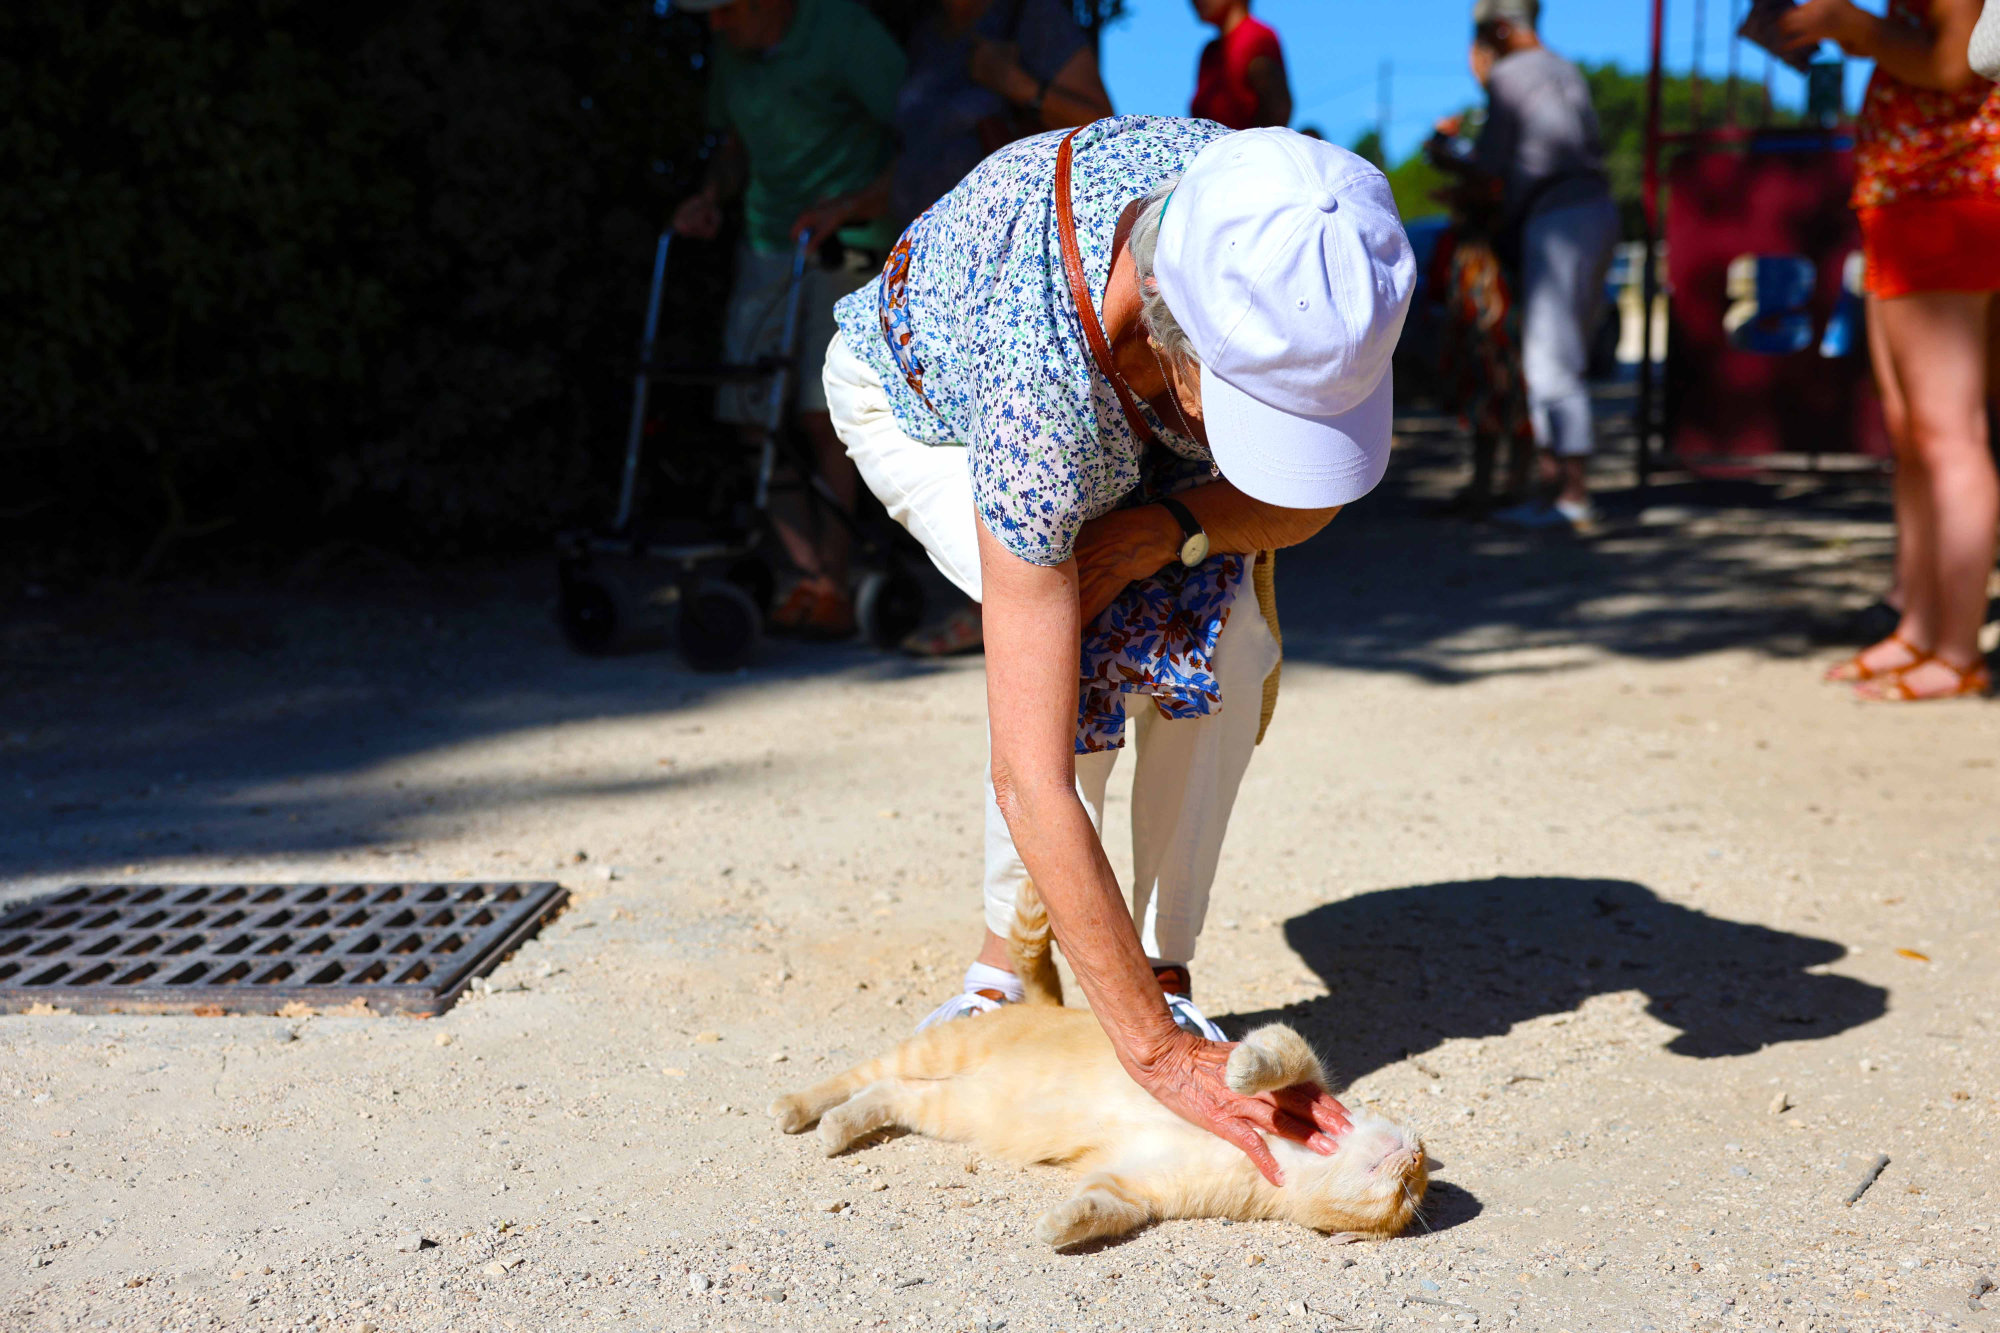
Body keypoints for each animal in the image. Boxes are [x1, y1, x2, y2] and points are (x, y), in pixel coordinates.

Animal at [772, 880, 1432, 1248]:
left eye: (1407, 1198)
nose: (1414, 1156)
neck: (1289, 1162)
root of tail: (1044, 1004)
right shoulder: (1301, 1071)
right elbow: (1278, 1055)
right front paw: (1241, 1074)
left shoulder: (1138, 1186)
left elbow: (1101, 1205)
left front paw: (1060, 1226)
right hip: (939, 1052)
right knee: (858, 1075)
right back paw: (798, 1107)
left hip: (953, 1106)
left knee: (888, 1091)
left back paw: (837, 1128)